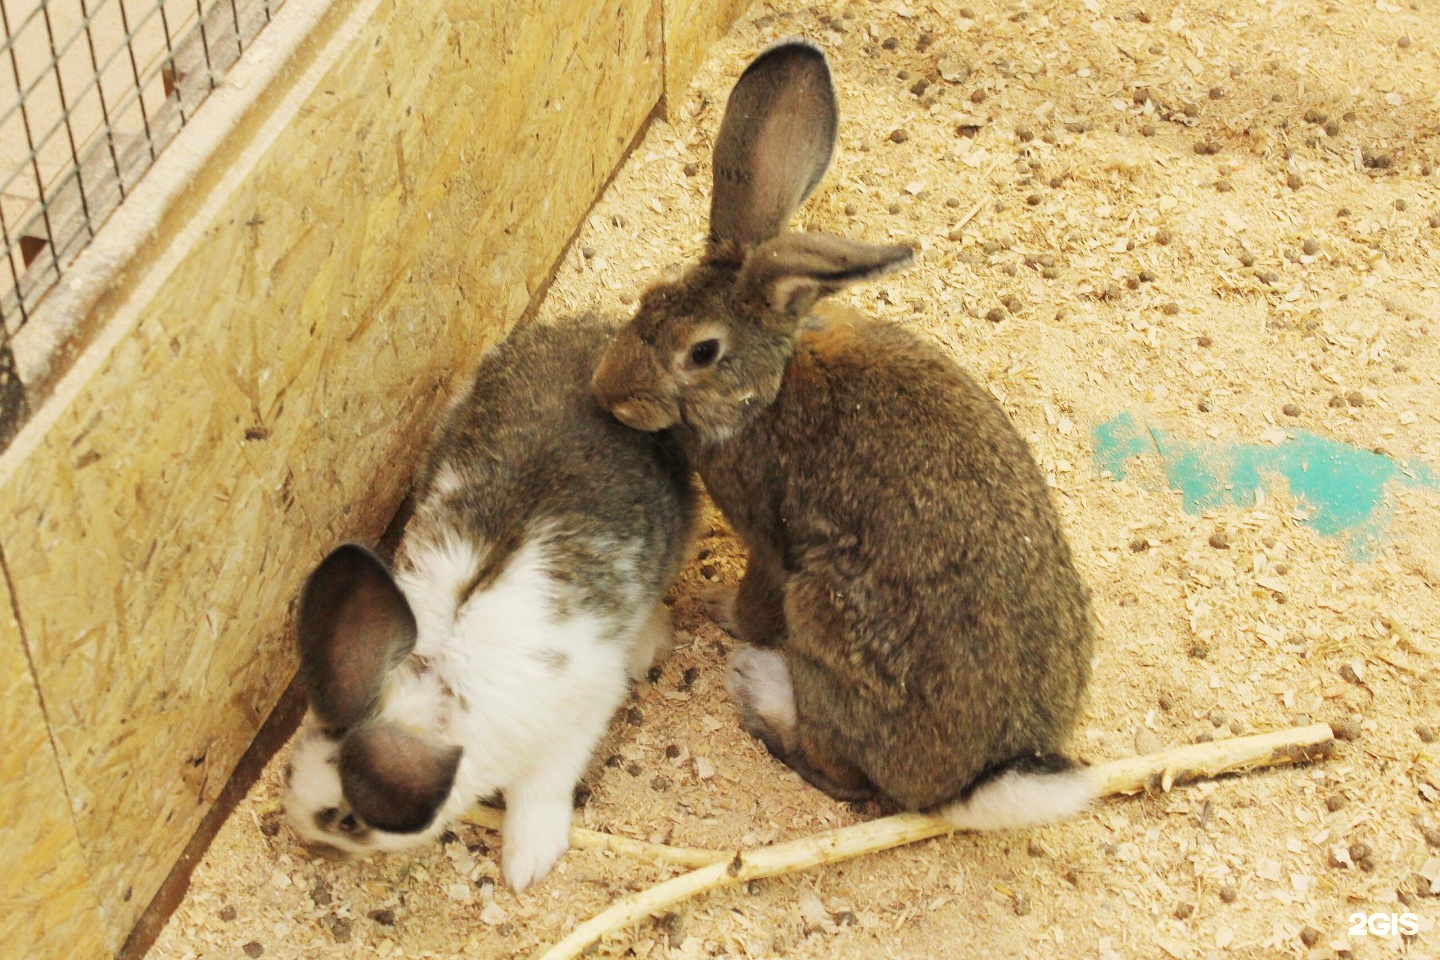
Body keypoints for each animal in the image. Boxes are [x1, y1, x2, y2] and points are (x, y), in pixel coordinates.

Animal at [282, 319, 696, 892]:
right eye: (287, 771)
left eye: (348, 820)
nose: (305, 839)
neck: (441, 685)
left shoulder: (575, 723)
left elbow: (541, 791)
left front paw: (526, 861)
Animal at [590, 41, 1094, 829]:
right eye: (650, 297)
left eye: (700, 352)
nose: (607, 391)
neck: (769, 388)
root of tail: (977, 780)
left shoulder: (769, 542)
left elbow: (754, 596)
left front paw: (717, 612)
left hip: (825, 614)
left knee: (843, 774)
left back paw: (760, 692)